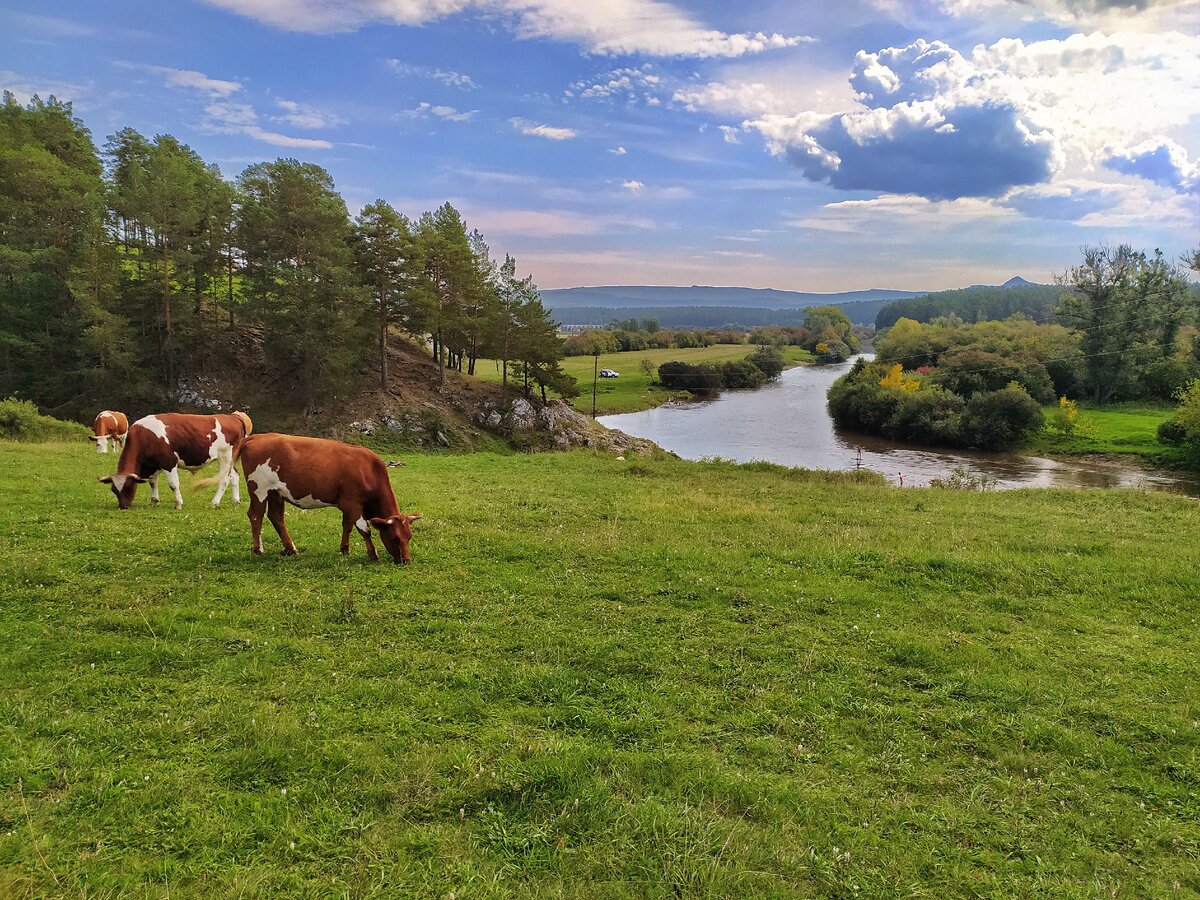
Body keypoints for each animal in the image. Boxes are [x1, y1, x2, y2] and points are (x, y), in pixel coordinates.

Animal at [100, 412, 253, 511]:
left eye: (128, 487)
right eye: (114, 490)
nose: (123, 506)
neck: (144, 436)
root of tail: (233, 417)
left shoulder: (169, 463)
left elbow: (173, 484)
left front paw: (178, 504)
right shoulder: (153, 465)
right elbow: (152, 482)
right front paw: (154, 501)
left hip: (225, 457)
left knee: (224, 480)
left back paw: (214, 502)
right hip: (231, 461)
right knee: (235, 477)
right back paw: (235, 501)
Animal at [238, 434, 422, 564]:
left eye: (409, 536)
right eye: (395, 538)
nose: (406, 560)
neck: (368, 470)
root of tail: (256, 437)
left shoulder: (347, 504)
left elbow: (347, 526)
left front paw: (345, 549)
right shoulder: (353, 504)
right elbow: (364, 529)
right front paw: (373, 554)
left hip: (276, 493)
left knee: (276, 518)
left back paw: (291, 549)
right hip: (259, 491)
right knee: (256, 516)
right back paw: (259, 550)